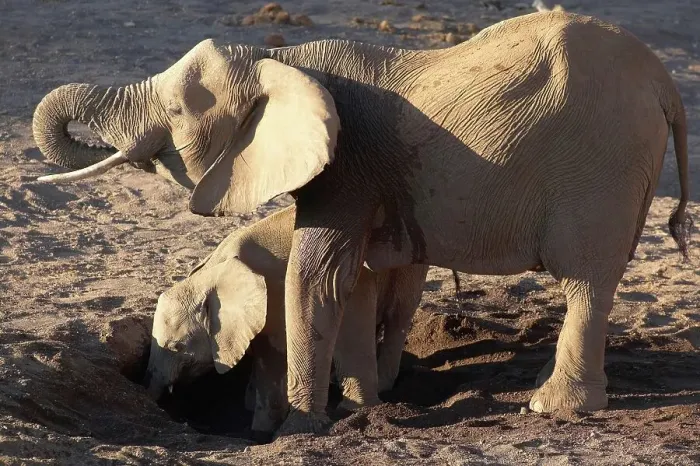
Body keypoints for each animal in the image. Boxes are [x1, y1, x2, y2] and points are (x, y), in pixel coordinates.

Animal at [143, 204, 428, 433]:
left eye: (178, 347)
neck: (215, 271)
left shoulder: (276, 295)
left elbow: (272, 360)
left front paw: (261, 432)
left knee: (398, 318)